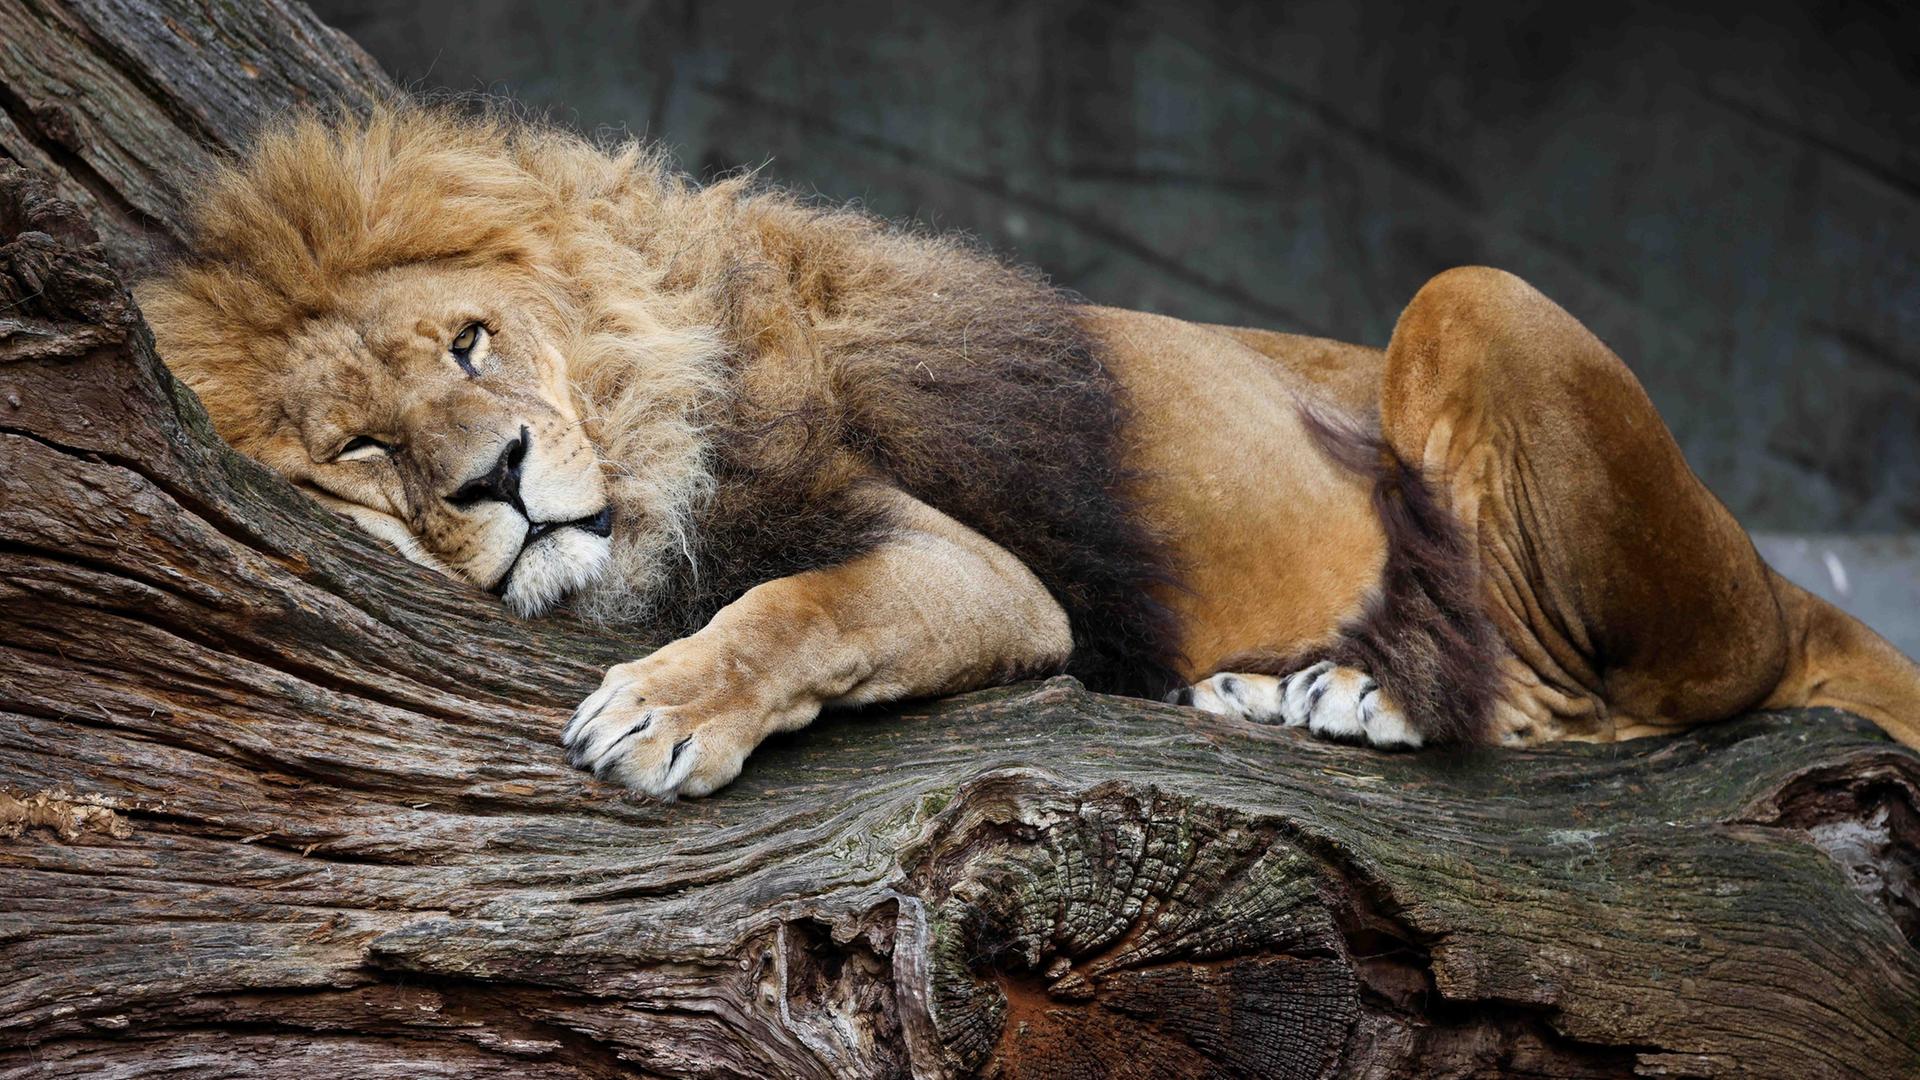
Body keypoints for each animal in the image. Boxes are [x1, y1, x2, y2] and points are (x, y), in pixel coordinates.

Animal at [137, 106, 1920, 798]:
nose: (498, 475)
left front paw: (664, 708)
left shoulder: (971, 568)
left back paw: (1366, 692)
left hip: (1469, 300)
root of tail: (1786, 581)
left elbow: (800, 609)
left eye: (471, 344)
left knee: (1592, 701)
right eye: (365, 445)